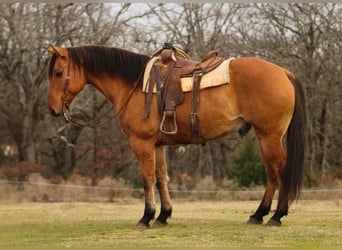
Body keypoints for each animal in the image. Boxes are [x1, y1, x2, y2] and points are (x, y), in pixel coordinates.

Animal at [46, 44, 306, 227]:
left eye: (58, 73)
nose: (52, 109)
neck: (133, 85)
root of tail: (284, 72)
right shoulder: (158, 145)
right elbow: (162, 178)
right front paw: (163, 215)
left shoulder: (141, 143)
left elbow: (147, 178)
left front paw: (146, 217)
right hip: (264, 138)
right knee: (271, 173)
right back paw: (258, 214)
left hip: (269, 136)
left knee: (280, 170)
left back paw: (276, 216)